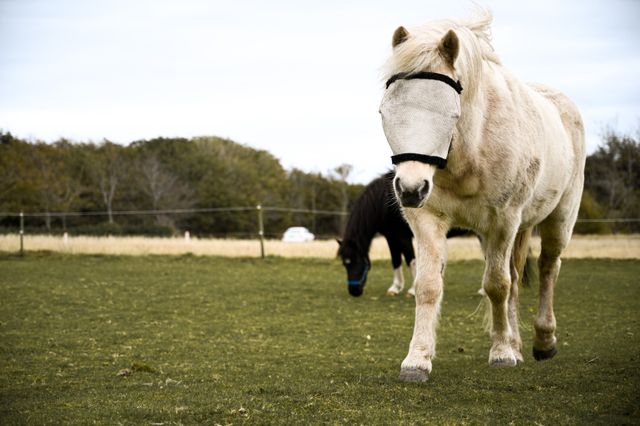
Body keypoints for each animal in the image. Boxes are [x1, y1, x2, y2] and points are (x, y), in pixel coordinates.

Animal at [378, 11, 585, 382]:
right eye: (385, 112)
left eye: (451, 114)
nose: (410, 189)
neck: (469, 151)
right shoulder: (427, 219)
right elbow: (429, 285)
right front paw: (417, 359)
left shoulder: (503, 221)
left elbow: (496, 285)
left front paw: (501, 353)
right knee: (517, 280)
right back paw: (518, 343)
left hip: (559, 218)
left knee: (548, 268)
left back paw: (543, 341)